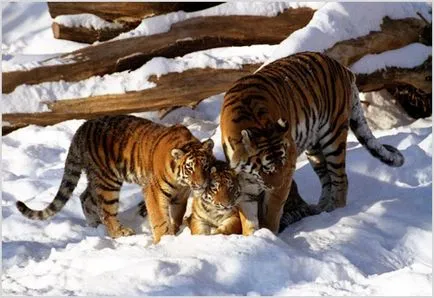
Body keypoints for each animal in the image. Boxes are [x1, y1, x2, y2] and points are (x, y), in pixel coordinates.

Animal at [17, 114, 215, 242]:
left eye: (205, 166)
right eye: (190, 168)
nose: (201, 184)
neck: (181, 182)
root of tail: (81, 129)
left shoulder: (181, 196)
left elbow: (177, 215)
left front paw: (176, 231)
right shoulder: (154, 191)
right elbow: (160, 218)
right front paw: (165, 240)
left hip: (96, 177)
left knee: (85, 197)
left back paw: (95, 226)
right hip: (108, 182)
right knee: (106, 210)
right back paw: (119, 233)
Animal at [222, 51, 406, 235]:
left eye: (281, 165)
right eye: (266, 169)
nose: (278, 186)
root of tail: (342, 68)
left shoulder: (288, 164)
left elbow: (272, 211)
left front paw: (270, 234)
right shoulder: (244, 180)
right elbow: (248, 216)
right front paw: (253, 236)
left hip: (333, 137)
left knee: (341, 179)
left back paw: (336, 212)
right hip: (314, 149)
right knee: (327, 180)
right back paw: (321, 208)